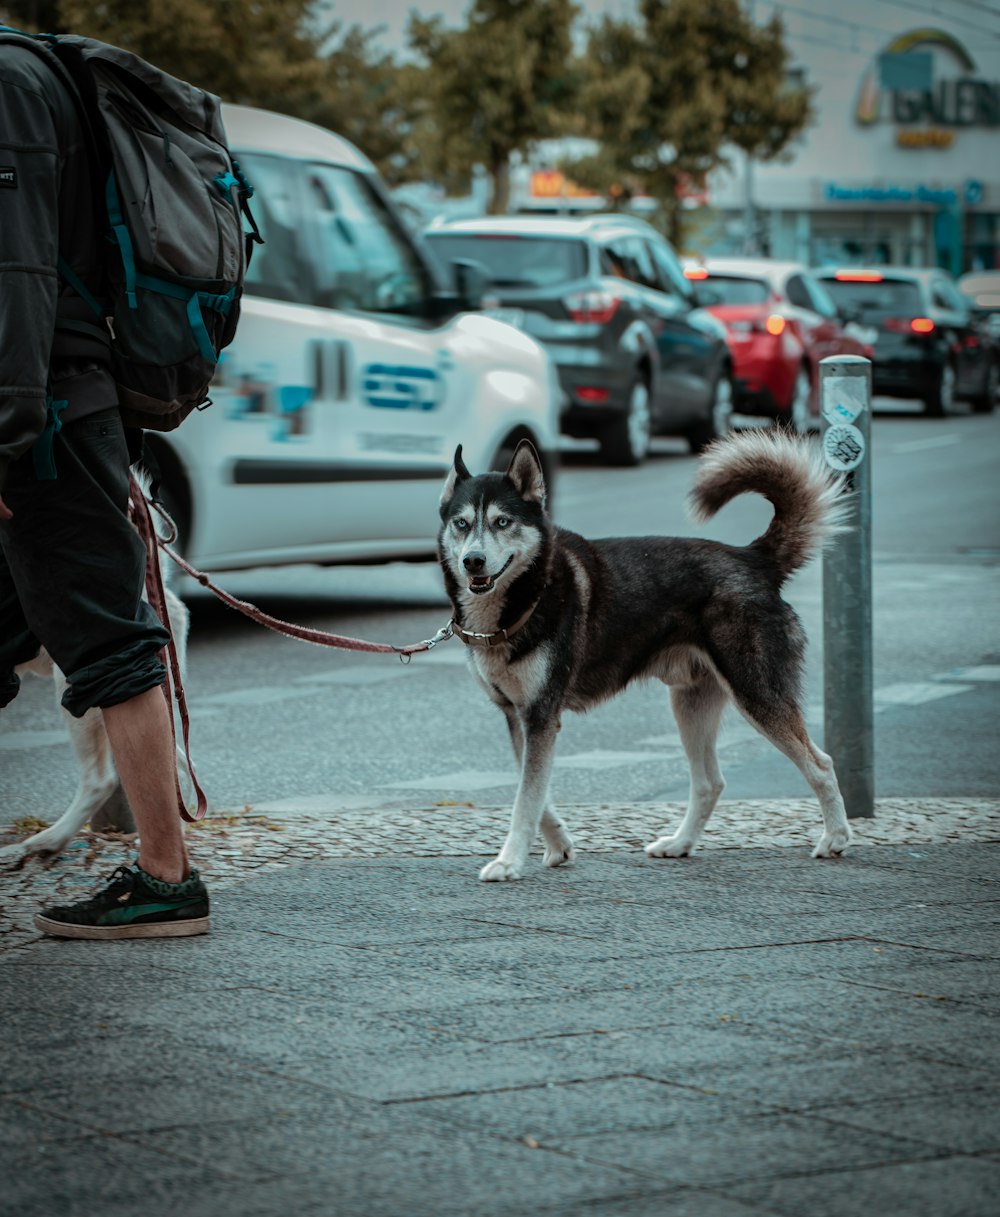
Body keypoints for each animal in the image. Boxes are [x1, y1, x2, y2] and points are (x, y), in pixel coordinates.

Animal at [437, 433, 851, 881]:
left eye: (502, 522)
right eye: (461, 523)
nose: (472, 560)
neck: (530, 595)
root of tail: (753, 559)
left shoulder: (541, 716)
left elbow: (525, 801)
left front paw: (509, 861)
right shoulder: (518, 717)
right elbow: (537, 795)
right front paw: (560, 845)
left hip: (757, 696)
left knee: (821, 764)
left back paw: (835, 838)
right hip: (690, 704)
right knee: (710, 783)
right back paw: (680, 844)